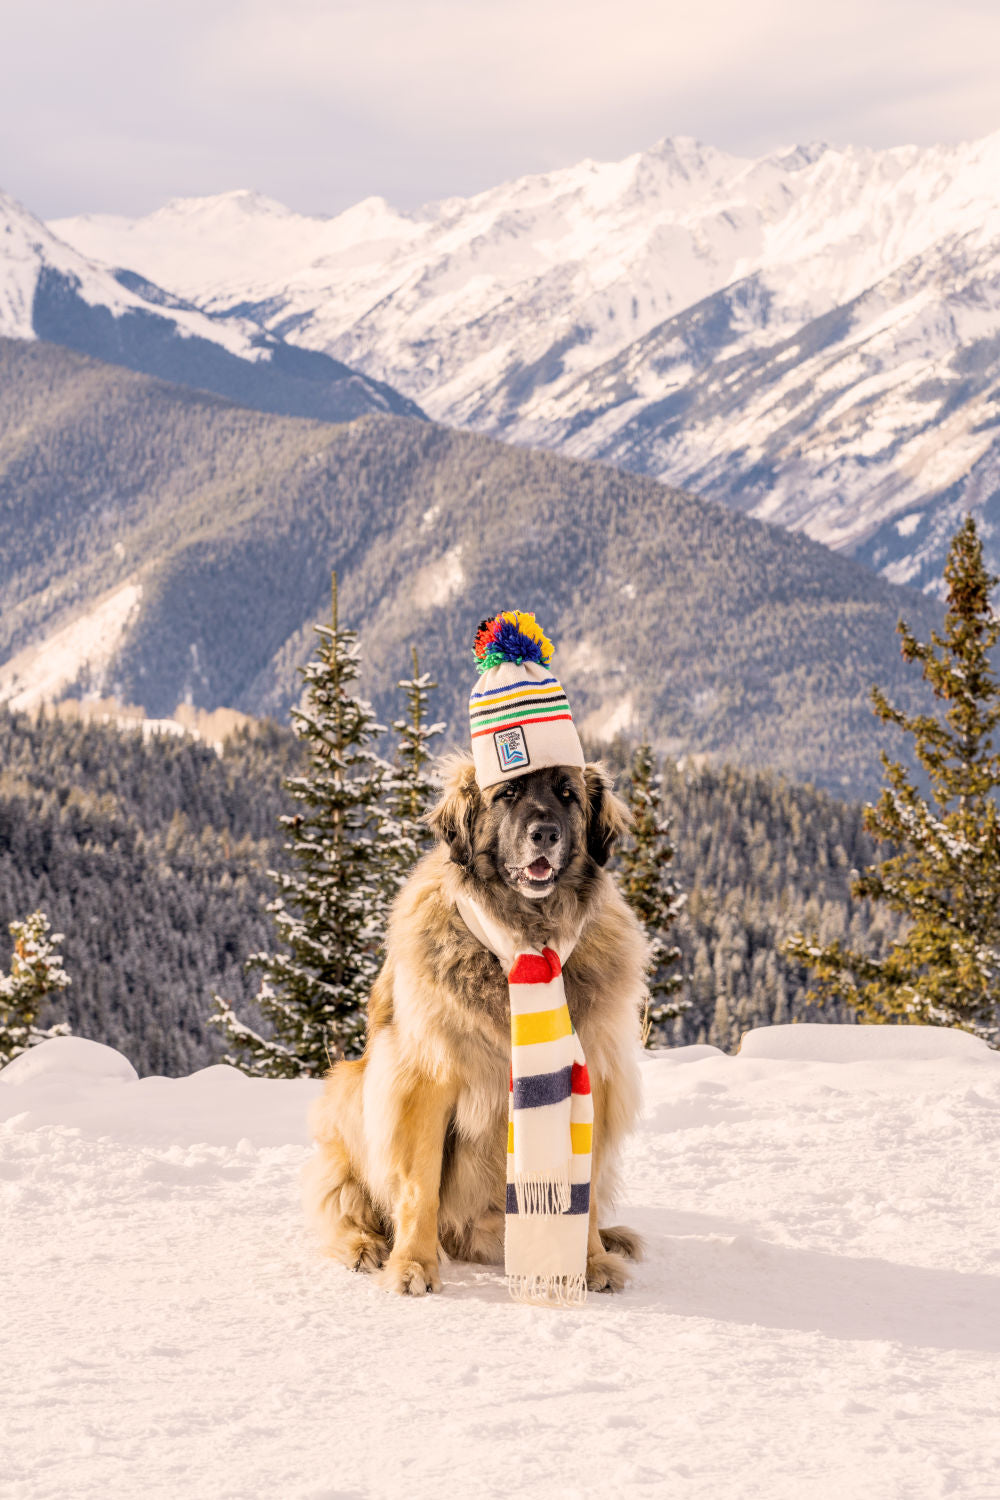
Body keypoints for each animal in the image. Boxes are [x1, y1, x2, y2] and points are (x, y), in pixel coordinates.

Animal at [305, 756, 650, 1296]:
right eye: (507, 793)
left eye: (567, 794)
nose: (545, 833)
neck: (525, 938)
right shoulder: (422, 1083)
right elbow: (419, 1187)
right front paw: (413, 1265)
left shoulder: (593, 1079)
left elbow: (586, 1192)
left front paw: (590, 1262)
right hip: (348, 1094)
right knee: (345, 1203)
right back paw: (366, 1245)